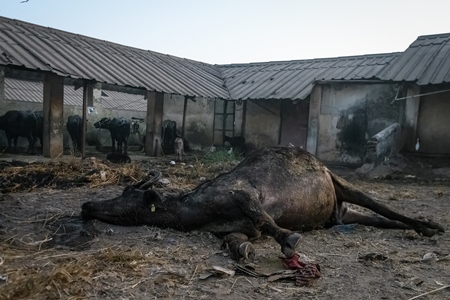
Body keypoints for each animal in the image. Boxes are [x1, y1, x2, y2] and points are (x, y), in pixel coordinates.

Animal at [81, 147, 442, 260]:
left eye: (128, 195)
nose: (87, 206)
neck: (194, 210)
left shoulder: (244, 195)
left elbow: (266, 220)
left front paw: (290, 239)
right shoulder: (237, 227)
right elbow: (236, 237)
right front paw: (241, 249)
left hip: (341, 183)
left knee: (381, 206)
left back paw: (430, 224)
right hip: (340, 213)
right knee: (377, 218)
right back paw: (423, 227)